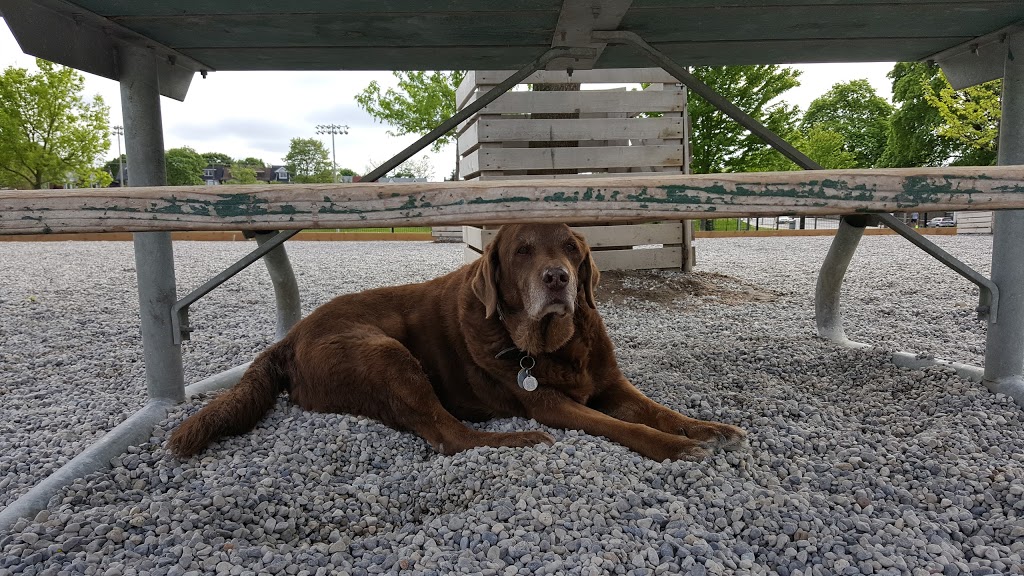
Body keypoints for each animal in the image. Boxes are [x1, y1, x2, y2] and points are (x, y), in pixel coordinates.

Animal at [167, 222, 745, 459]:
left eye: (571, 248)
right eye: (522, 251)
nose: (558, 278)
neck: (554, 345)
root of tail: (289, 338)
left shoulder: (612, 385)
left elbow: (658, 410)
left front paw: (709, 428)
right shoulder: (552, 405)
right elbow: (624, 427)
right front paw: (677, 447)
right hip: (386, 355)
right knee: (449, 436)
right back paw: (519, 442)